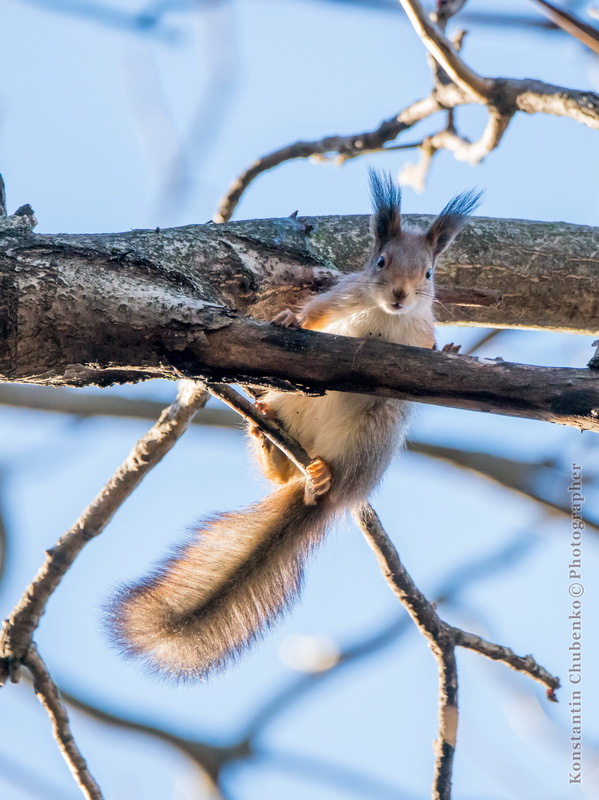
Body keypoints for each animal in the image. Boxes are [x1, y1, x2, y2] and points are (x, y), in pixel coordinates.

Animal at [108, 172, 482, 680]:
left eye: (428, 274)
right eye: (380, 261)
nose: (400, 296)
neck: (384, 317)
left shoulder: (419, 331)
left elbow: (429, 349)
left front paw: (450, 352)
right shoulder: (338, 297)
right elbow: (313, 313)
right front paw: (288, 316)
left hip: (370, 439)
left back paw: (322, 475)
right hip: (292, 409)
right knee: (280, 470)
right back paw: (266, 435)